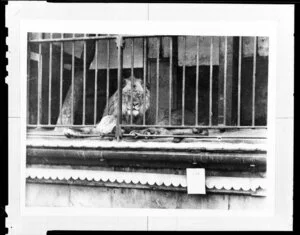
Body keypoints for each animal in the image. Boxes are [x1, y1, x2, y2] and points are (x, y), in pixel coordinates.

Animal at [64, 76, 207, 139]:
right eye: (128, 94)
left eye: (139, 94)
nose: (135, 104)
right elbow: (90, 128)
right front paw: (71, 131)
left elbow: (112, 122)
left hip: (170, 118)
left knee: (166, 131)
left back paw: (145, 132)